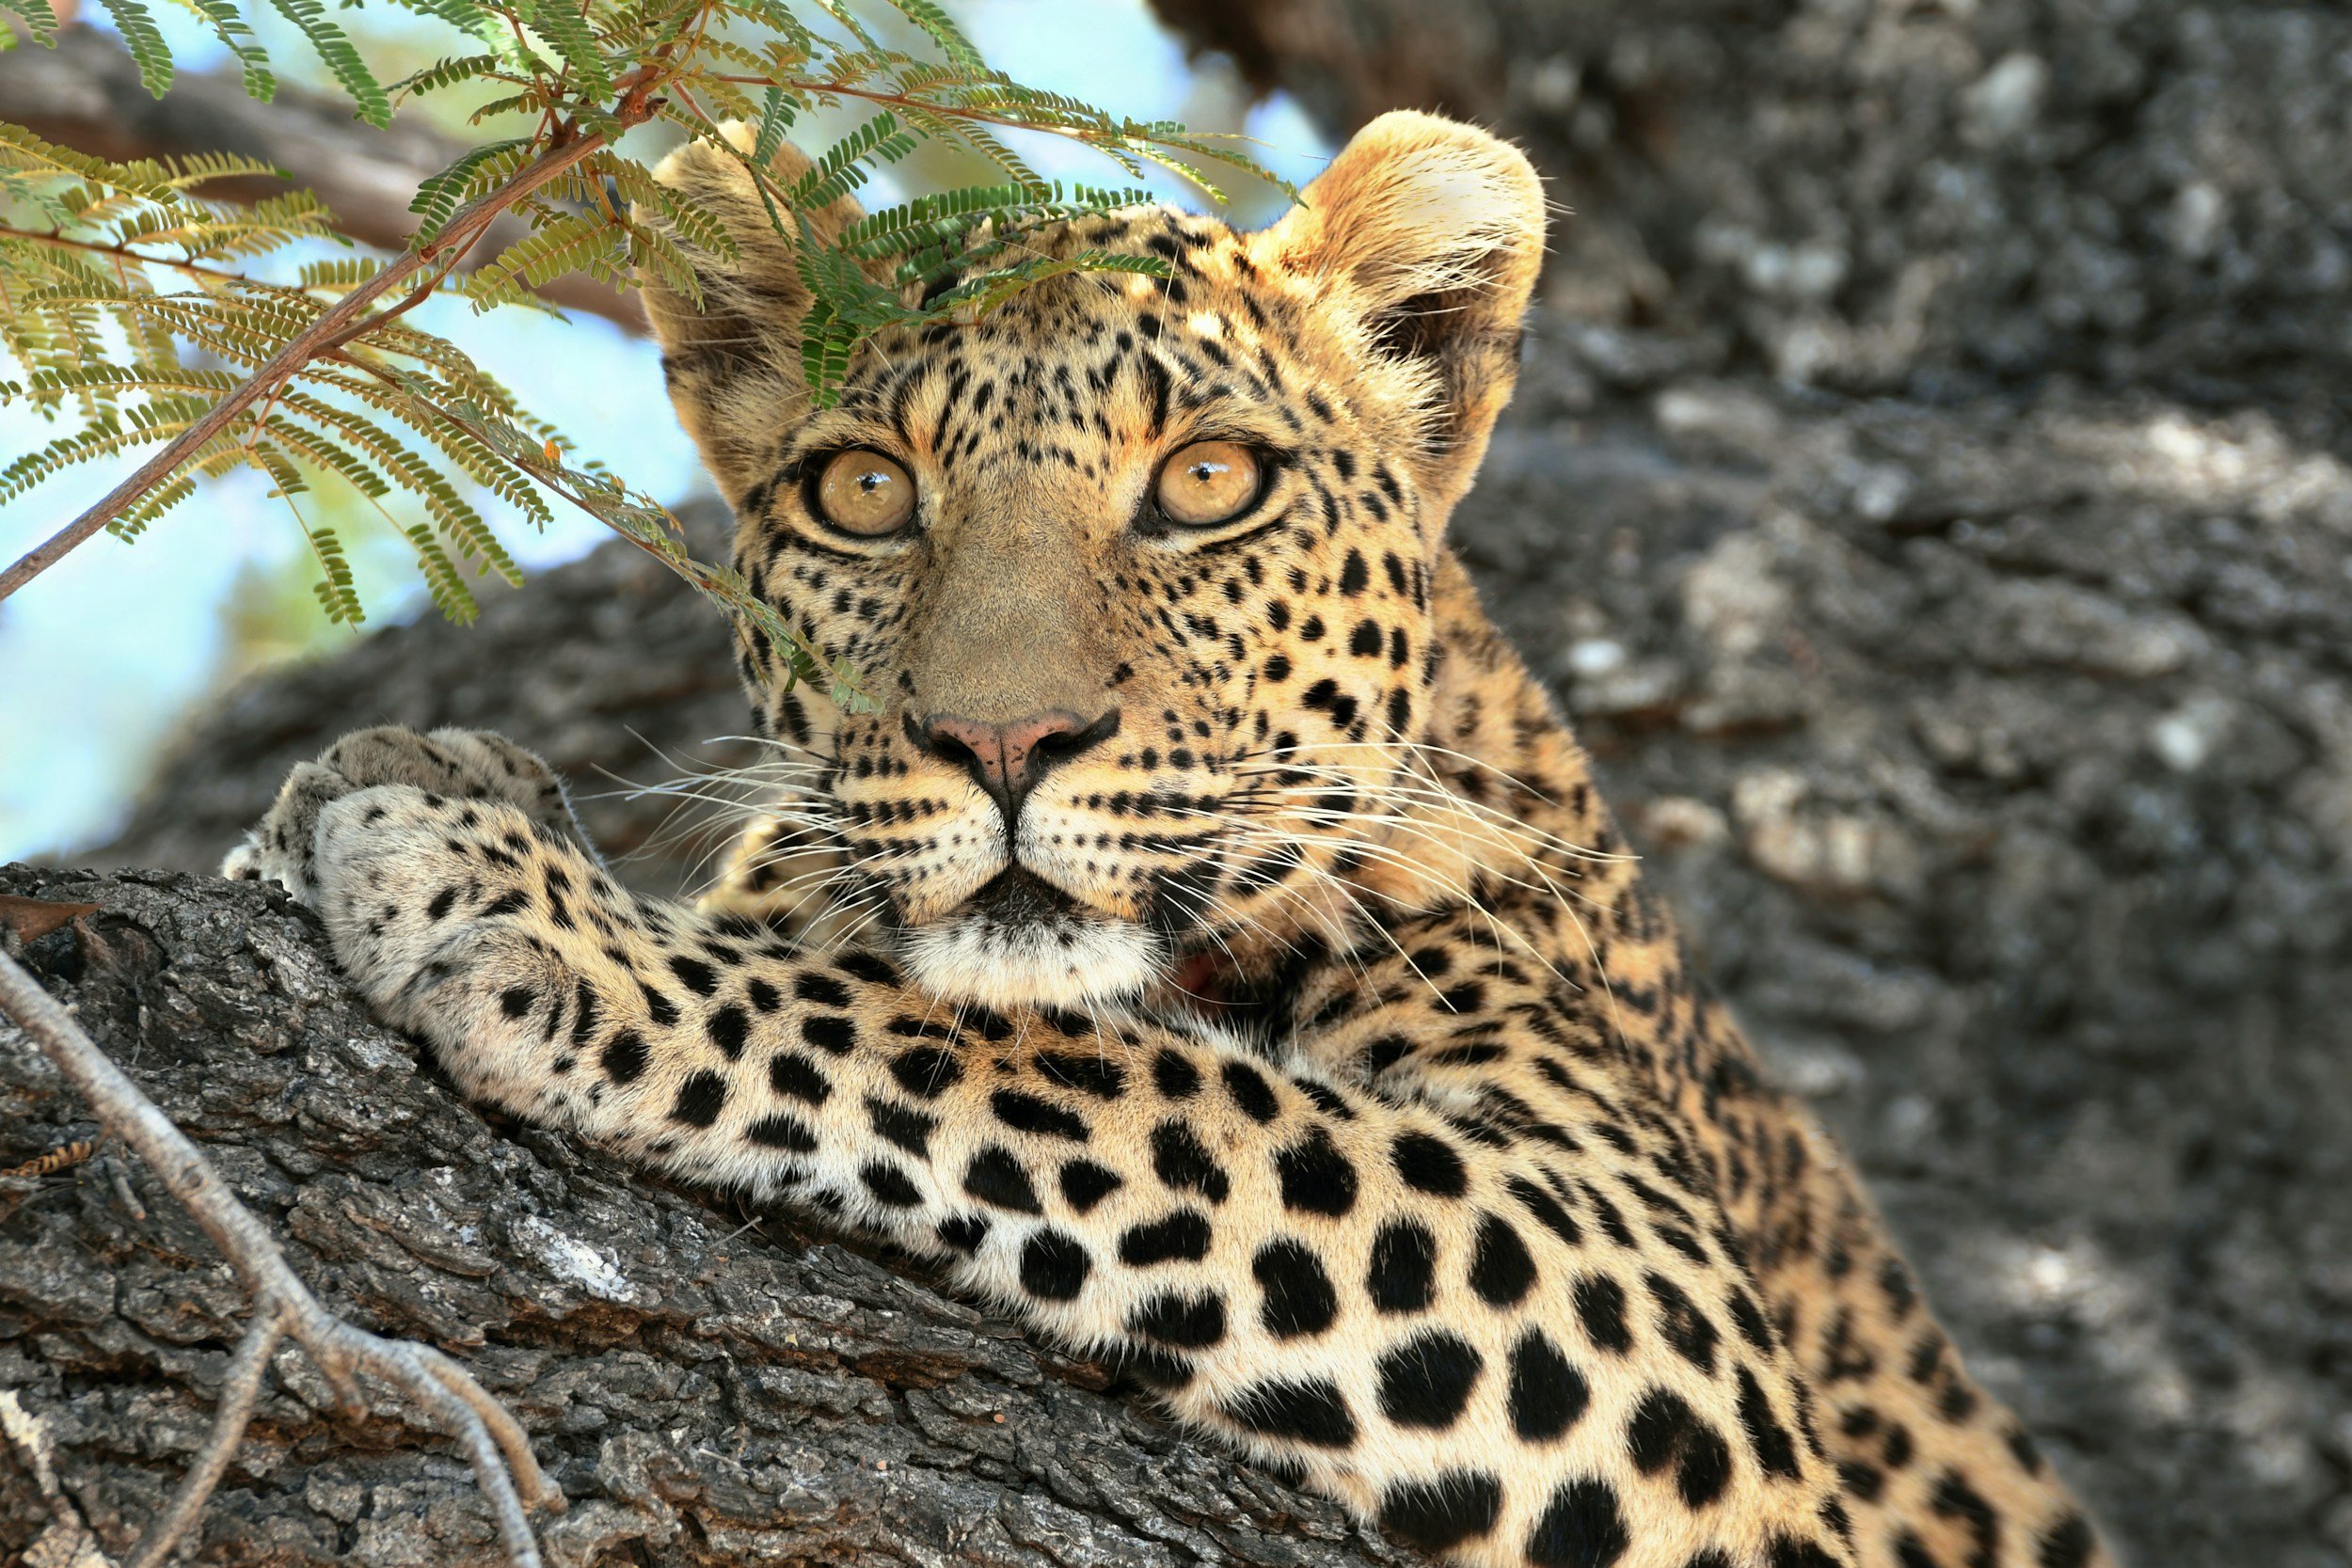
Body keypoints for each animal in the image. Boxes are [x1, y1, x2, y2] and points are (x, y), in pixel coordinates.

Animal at [225, 111, 2112, 1568]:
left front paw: (528, 902)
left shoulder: (1665, 1303)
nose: (1002, 744)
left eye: (1208, 482)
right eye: (865, 493)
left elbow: (1112, 1075)